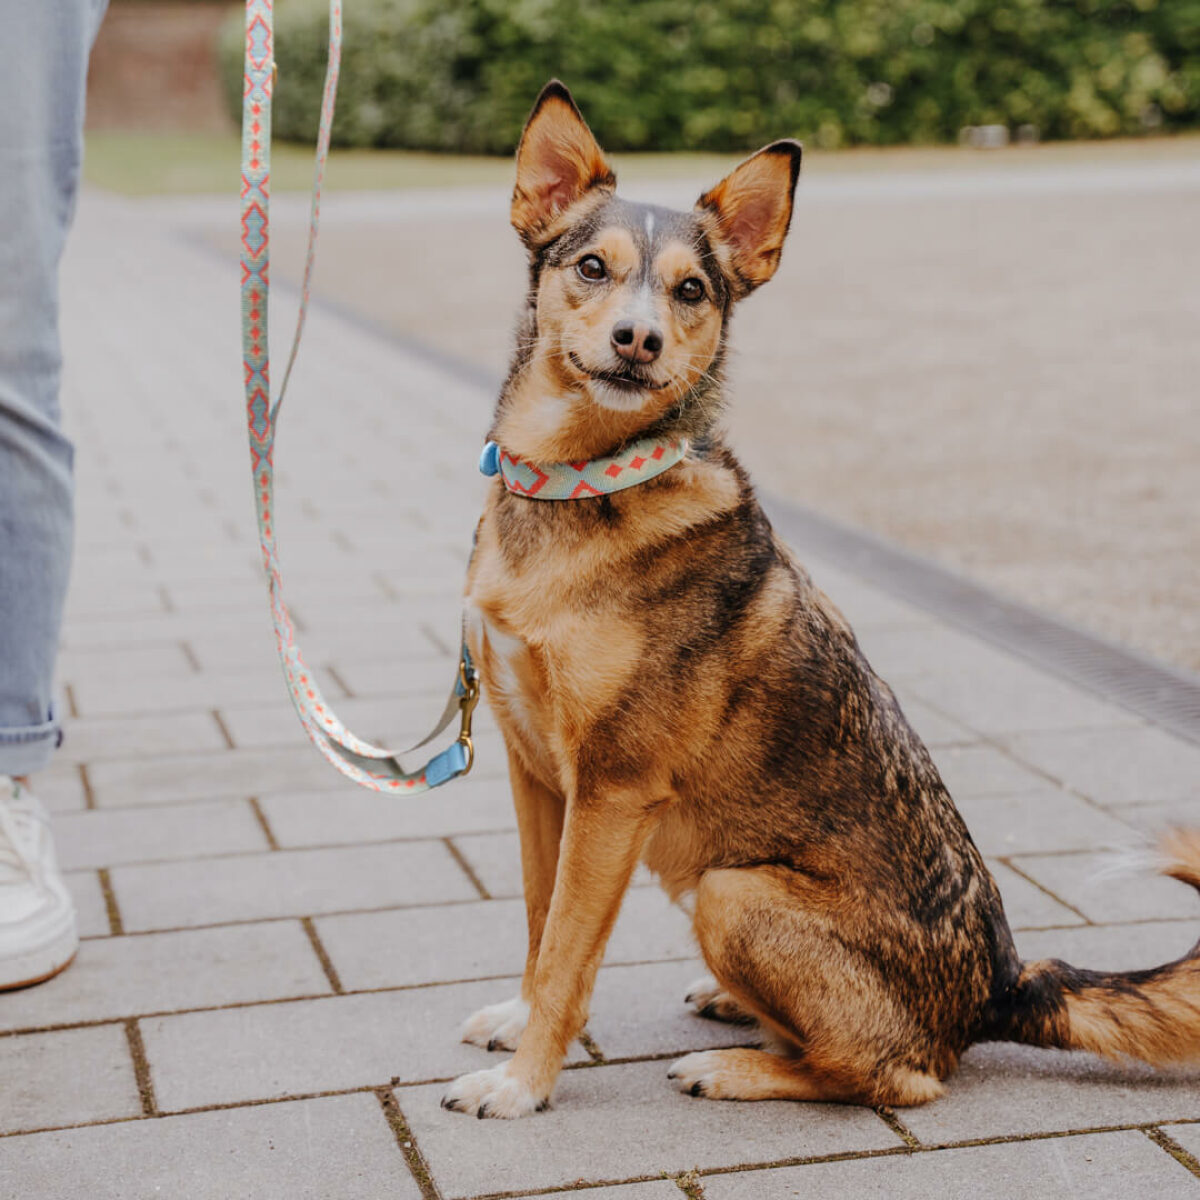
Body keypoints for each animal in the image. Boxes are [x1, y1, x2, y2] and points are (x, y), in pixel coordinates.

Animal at [446, 82, 1200, 1113]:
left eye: (692, 291)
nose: (638, 341)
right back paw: (732, 1009)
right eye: (592, 268)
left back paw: (735, 1066)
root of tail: (1000, 989)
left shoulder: (611, 792)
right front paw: (519, 1028)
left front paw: (526, 1084)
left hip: (733, 890)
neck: (585, 482)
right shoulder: (535, 776)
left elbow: (567, 953)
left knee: (896, 1074)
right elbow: (535, 922)